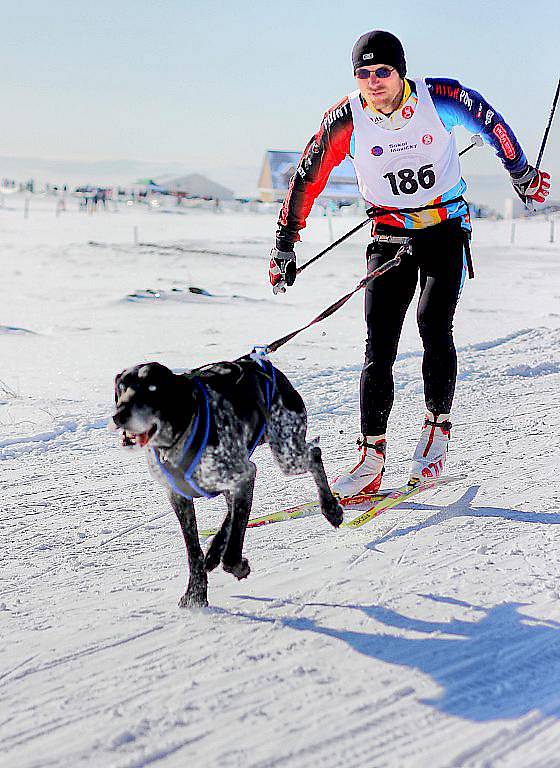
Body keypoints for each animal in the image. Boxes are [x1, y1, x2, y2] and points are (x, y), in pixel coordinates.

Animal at [112, 352, 342, 608]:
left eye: (151, 388)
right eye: (121, 388)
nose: (119, 415)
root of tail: (259, 361)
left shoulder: (245, 475)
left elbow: (233, 545)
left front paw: (236, 566)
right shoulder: (180, 498)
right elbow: (194, 551)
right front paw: (195, 593)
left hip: (287, 454)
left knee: (314, 454)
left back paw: (331, 509)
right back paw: (213, 552)